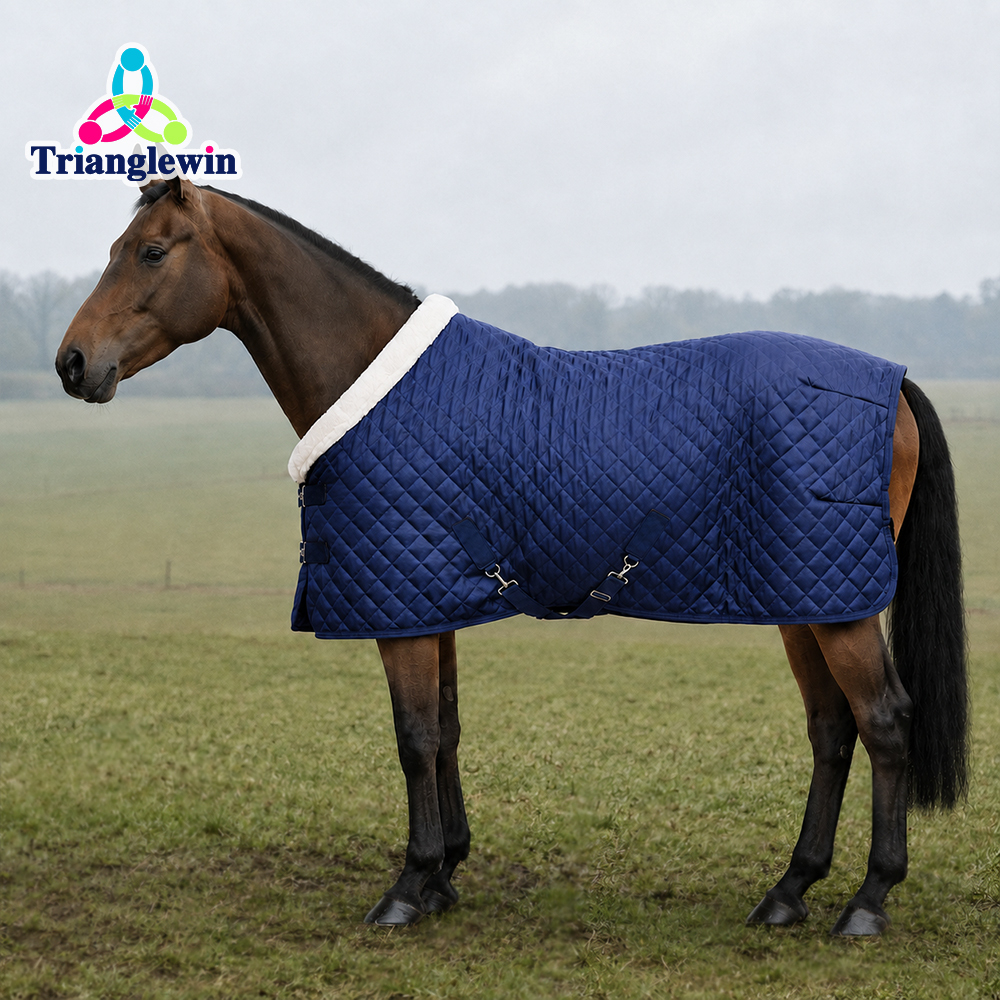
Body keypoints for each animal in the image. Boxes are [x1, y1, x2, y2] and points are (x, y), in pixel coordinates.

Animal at [55, 176, 967, 936]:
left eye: (150, 251)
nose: (72, 363)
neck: (377, 384)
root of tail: (893, 382)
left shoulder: (403, 605)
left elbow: (414, 736)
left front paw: (407, 887)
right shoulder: (430, 597)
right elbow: (447, 729)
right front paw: (445, 876)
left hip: (837, 609)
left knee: (885, 722)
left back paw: (868, 901)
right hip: (805, 599)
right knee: (831, 729)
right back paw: (789, 892)